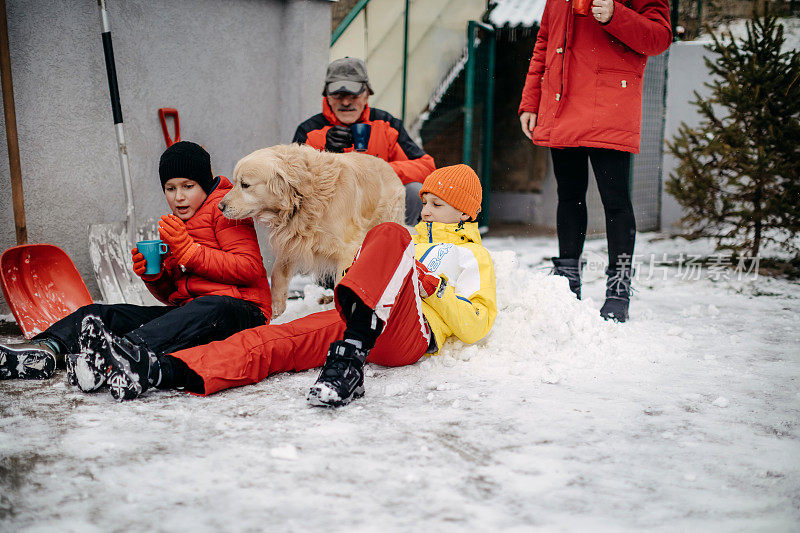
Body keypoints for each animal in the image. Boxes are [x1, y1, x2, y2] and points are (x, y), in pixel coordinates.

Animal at [217, 142, 404, 316]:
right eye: (235, 182)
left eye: (245, 184)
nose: (220, 206)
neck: (304, 197)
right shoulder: (291, 242)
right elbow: (278, 274)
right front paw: (276, 308)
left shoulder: (348, 248)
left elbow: (341, 281)